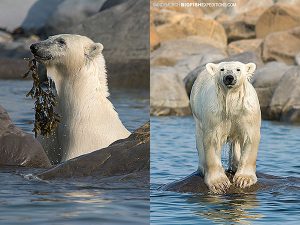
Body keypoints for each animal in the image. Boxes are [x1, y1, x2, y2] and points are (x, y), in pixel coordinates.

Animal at [191, 61, 262, 193]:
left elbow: (249, 138)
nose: (229, 77)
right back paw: (203, 168)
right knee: (199, 138)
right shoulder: (215, 113)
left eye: (238, 69)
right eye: (222, 69)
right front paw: (219, 183)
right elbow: (213, 140)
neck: (231, 100)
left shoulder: (246, 111)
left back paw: (235, 164)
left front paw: (244, 179)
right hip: (197, 113)